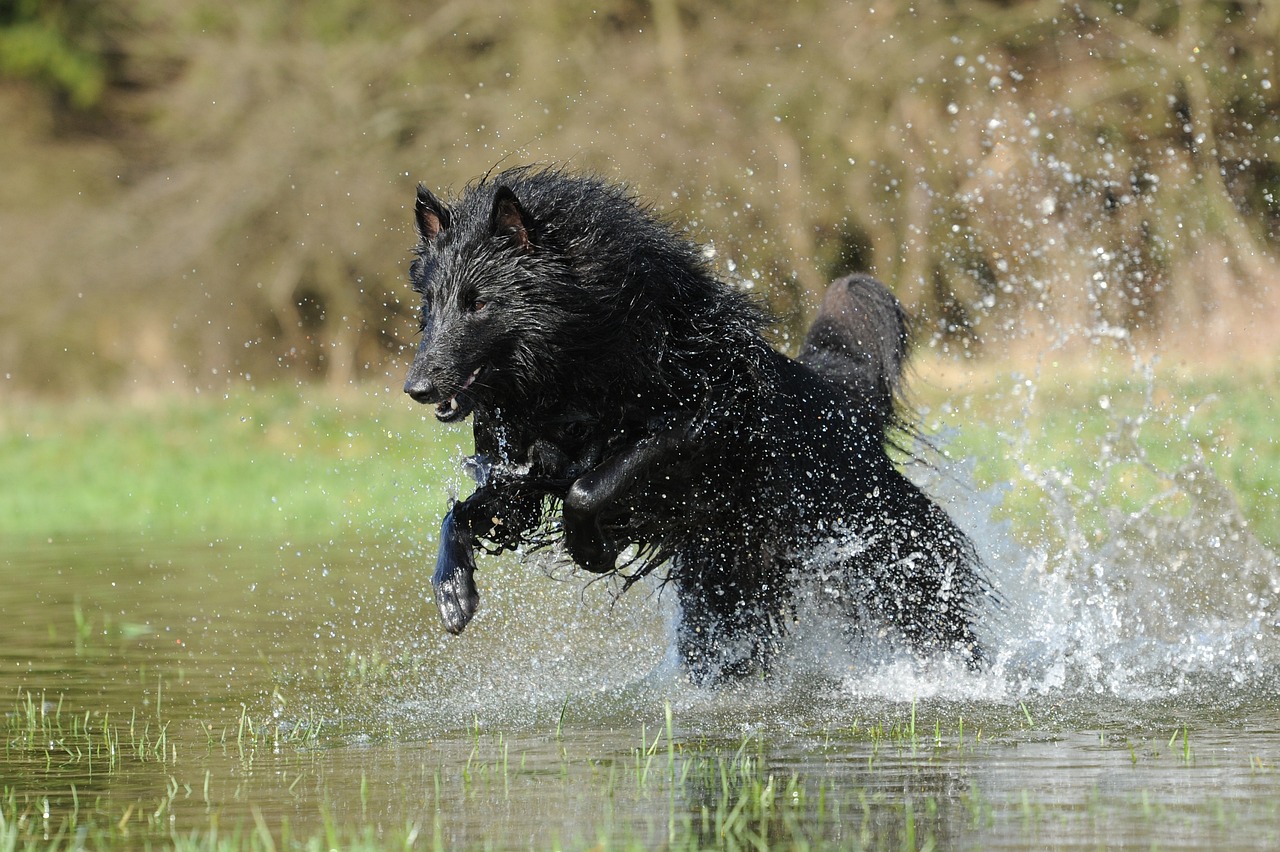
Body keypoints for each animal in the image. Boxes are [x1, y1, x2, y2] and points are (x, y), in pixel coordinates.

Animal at [404, 166, 983, 685]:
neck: (586, 350)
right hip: (724, 596)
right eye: (430, 305)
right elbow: (463, 512)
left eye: (479, 303)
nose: (416, 387)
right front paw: (452, 589)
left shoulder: (701, 424)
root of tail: (844, 405)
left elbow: (589, 488)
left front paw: (591, 549)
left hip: (897, 571)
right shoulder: (524, 471)